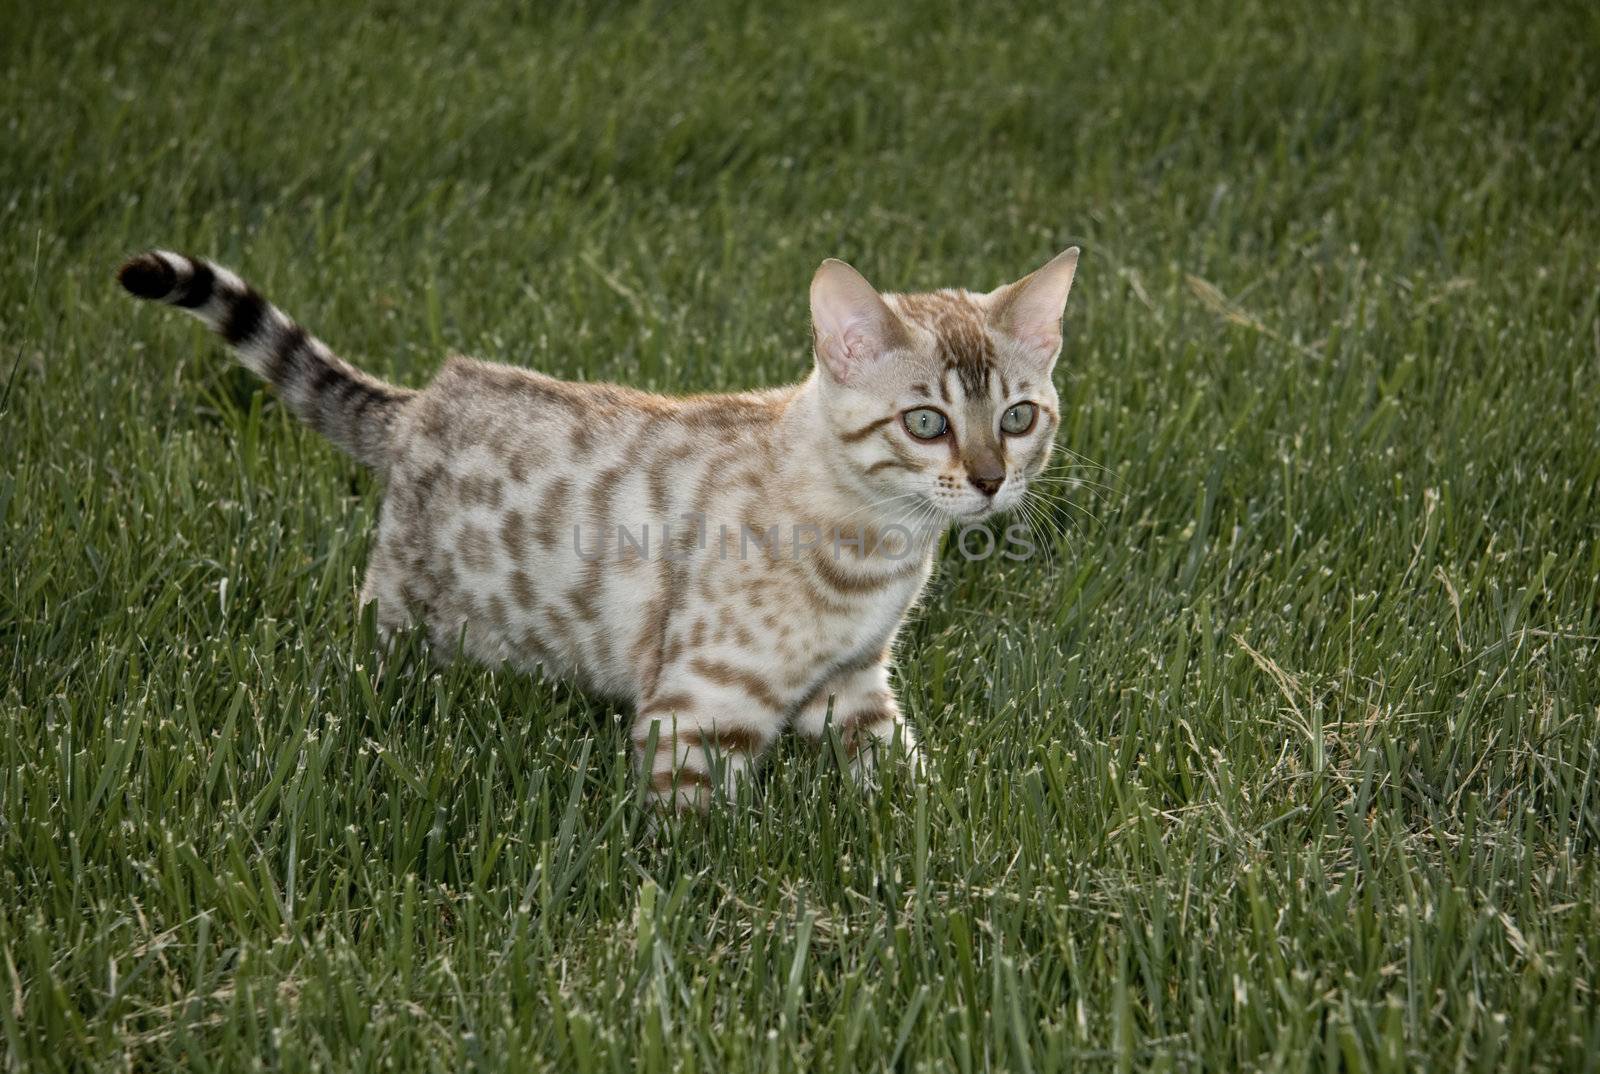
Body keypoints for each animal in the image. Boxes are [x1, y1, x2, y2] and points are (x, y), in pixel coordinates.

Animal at [118, 248, 1081, 809]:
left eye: (1019, 417)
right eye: (926, 423)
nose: (991, 481)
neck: (879, 552)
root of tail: (425, 397)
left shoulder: (856, 687)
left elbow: (905, 784)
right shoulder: (698, 713)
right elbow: (689, 851)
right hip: (400, 622)